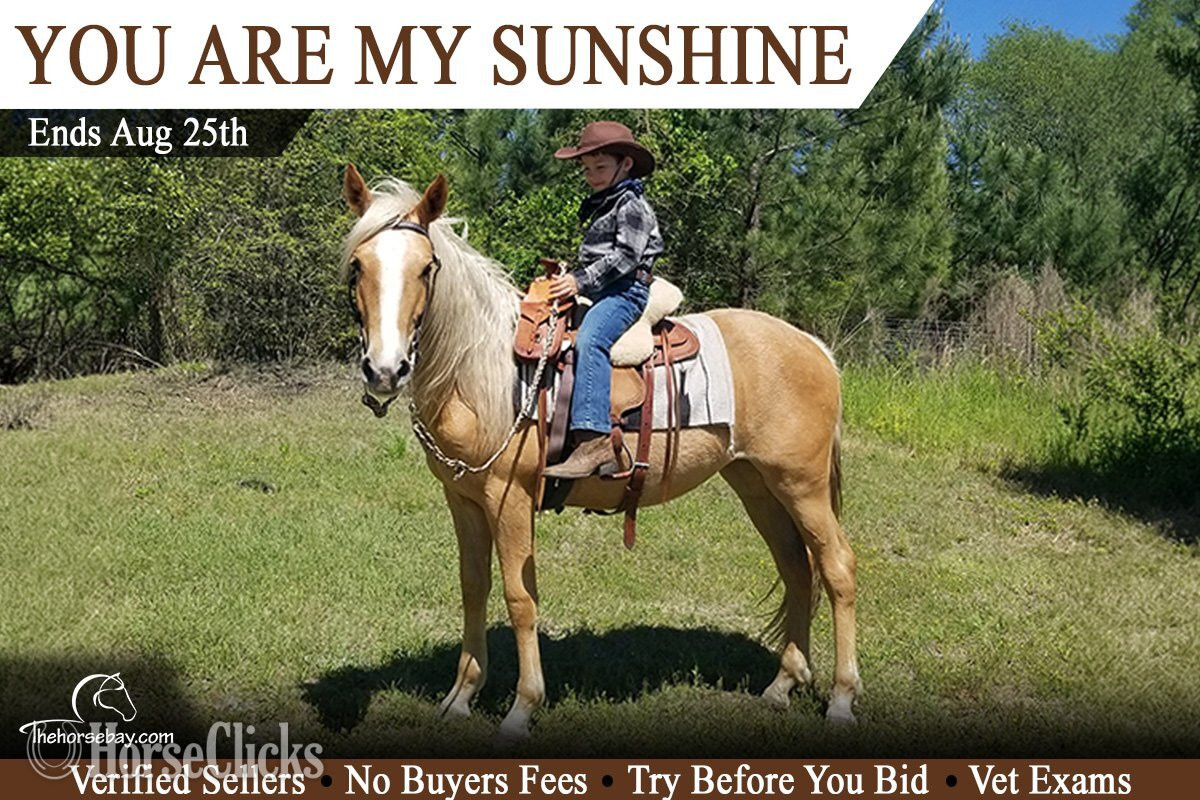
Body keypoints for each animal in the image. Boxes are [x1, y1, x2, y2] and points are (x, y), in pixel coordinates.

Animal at [339, 165, 860, 739]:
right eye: (358, 266)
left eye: (426, 267)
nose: (385, 370)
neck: (484, 371)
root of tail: (815, 349)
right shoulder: (464, 499)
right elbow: (474, 586)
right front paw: (461, 697)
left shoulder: (509, 498)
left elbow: (520, 598)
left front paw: (522, 708)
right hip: (758, 485)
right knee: (796, 568)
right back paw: (782, 686)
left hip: (802, 485)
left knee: (837, 568)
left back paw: (841, 698)